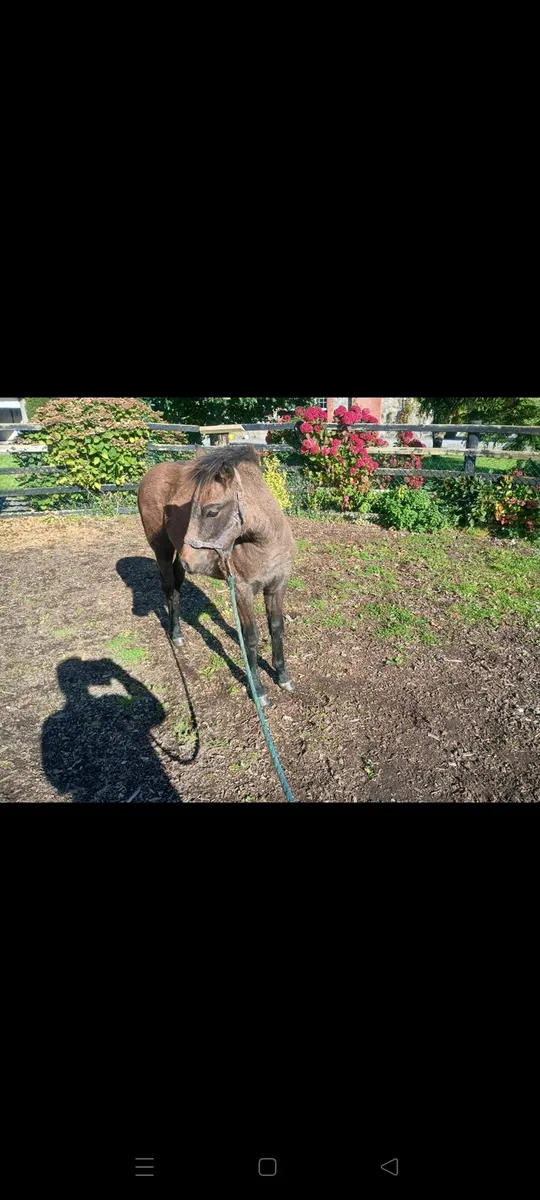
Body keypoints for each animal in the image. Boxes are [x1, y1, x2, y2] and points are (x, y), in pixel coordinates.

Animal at [137, 444, 297, 708]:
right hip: (162, 550)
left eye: (212, 511)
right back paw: (176, 635)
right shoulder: (242, 591)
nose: (190, 559)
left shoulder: (277, 585)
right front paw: (259, 691)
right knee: (169, 589)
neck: (263, 544)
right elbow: (250, 637)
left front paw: (283, 677)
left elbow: (276, 628)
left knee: (177, 586)